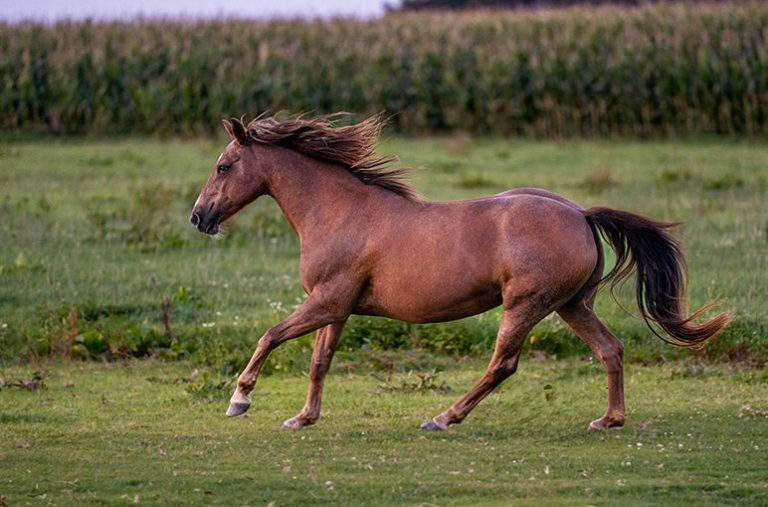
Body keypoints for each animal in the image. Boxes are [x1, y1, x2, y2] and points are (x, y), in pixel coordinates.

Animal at [190, 113, 730, 432]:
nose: (199, 218)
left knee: (503, 364)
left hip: (526, 305)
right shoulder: (337, 308)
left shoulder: (326, 301)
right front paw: (302, 418)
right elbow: (320, 361)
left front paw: (239, 399)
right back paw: (609, 420)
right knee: (610, 349)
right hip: (571, 305)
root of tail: (579, 213)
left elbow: (269, 336)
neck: (340, 212)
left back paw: (443, 418)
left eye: (222, 166)